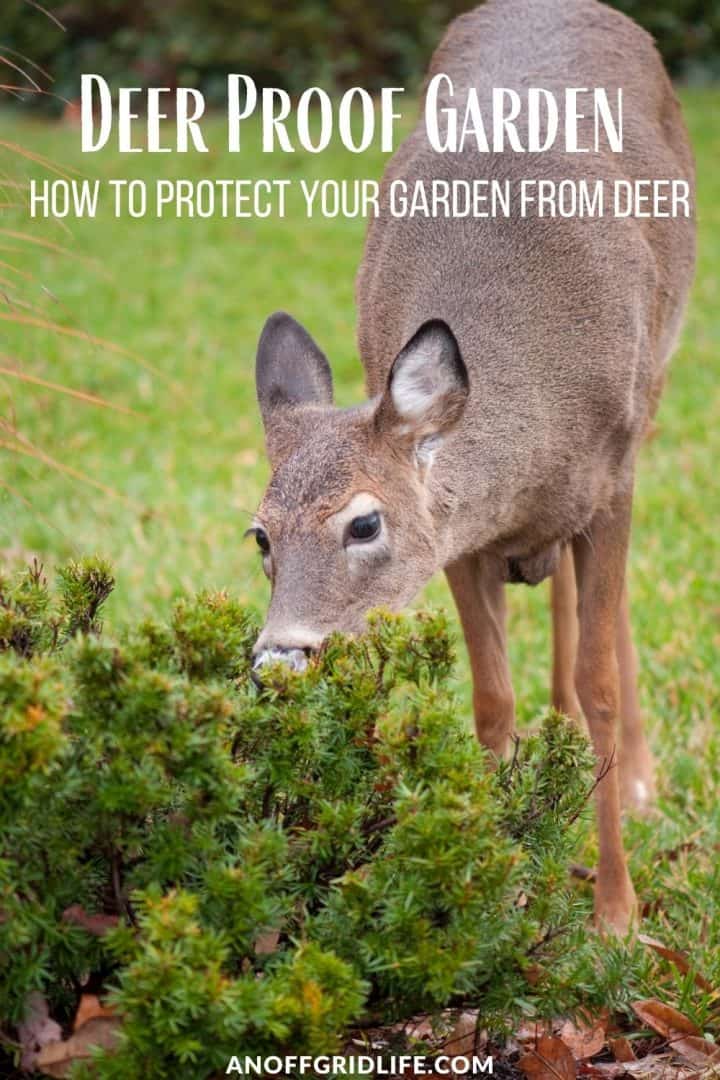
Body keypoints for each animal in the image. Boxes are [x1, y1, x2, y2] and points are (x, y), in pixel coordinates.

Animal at [248, 0, 696, 934]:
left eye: (364, 522)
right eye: (260, 536)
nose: (279, 659)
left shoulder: (611, 481)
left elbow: (602, 683)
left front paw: (617, 914)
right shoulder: (459, 536)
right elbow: (493, 705)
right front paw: (495, 883)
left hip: (657, 387)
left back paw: (636, 779)